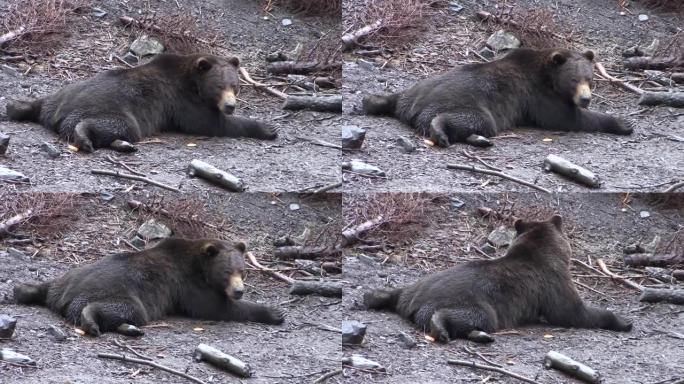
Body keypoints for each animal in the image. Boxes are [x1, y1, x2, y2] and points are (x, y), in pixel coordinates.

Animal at [4, 53, 278, 152]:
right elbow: (211, 124)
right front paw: (268, 128)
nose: (230, 106)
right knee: (117, 125)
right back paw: (86, 137)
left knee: (39, 102)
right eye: (219, 86)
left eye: (235, 86)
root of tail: (58, 113)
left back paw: (14, 107)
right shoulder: (182, 102)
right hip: (115, 109)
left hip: (60, 93)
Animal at [14, 237, 286, 336]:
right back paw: (92, 321)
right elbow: (216, 308)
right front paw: (274, 312)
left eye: (243, 271)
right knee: (127, 309)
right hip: (120, 291)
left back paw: (22, 290)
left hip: (69, 275)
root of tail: (64, 298)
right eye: (227, 272)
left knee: (47, 284)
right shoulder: (187, 285)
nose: (239, 291)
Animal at [364, 48, 636, 148]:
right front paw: (623, 123)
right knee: (476, 120)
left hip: (416, 87)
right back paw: (441, 131)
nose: (585, 99)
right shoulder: (537, 97)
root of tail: (413, 107)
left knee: (395, 96)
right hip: (469, 103)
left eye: (590, 79)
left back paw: (371, 101)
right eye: (573, 80)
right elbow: (567, 118)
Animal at [366, 214, 632, 344]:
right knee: (477, 315)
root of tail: (413, 305)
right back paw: (442, 328)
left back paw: (372, 296)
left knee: (396, 291)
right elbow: (572, 313)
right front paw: (622, 321)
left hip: (417, 284)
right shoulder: (553, 283)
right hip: (474, 302)